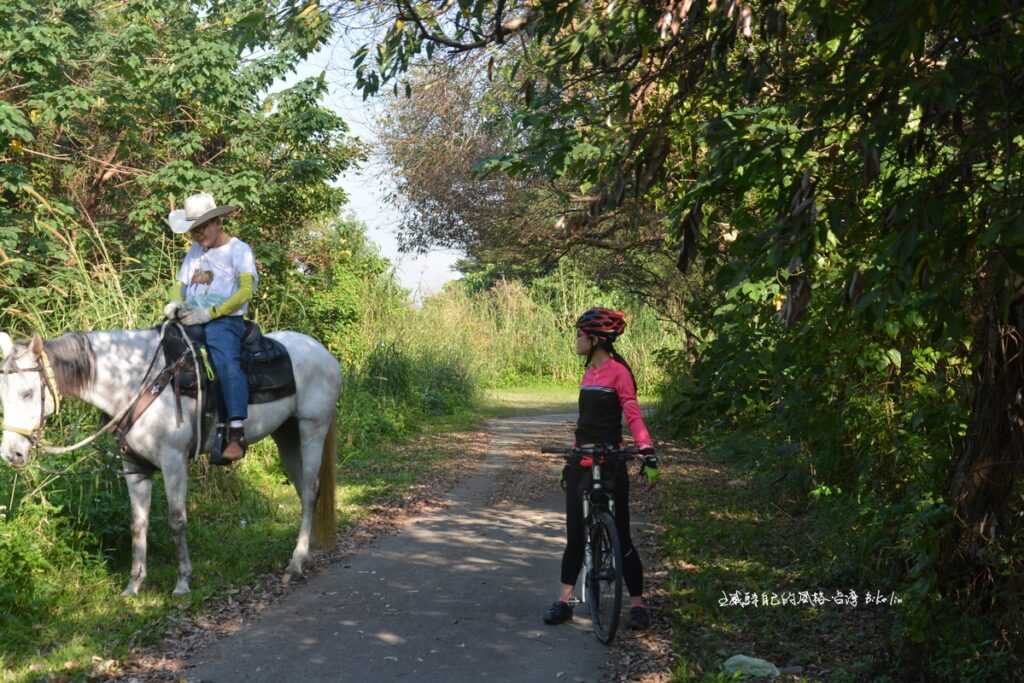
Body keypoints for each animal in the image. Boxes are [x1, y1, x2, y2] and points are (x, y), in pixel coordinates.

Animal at [0, 327, 344, 593]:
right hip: (286, 436)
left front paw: (182, 583)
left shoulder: (173, 462)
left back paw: (296, 562)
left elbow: (177, 520)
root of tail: (323, 353)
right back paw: (306, 550)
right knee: (303, 490)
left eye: (28, 393)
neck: (138, 383)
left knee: (310, 490)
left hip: (312, 428)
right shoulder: (135, 468)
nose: (12, 453)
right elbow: (138, 524)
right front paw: (134, 586)